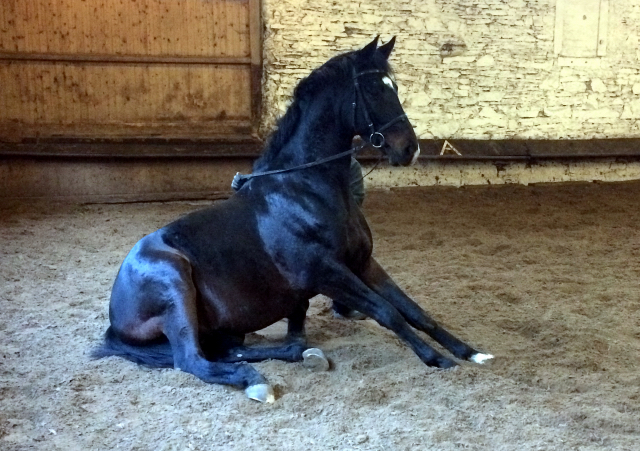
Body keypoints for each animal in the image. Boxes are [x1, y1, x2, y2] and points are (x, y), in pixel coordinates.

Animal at [92, 36, 492, 402]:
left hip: (220, 327)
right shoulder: (324, 272)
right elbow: (388, 311)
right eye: (373, 90)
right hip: (177, 288)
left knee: (230, 350)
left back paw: (300, 352)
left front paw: (470, 352)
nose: (409, 150)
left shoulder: (363, 263)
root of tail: (116, 313)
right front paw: (437, 359)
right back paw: (256, 382)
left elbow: (414, 310)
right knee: (193, 360)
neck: (304, 189)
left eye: (394, 87)